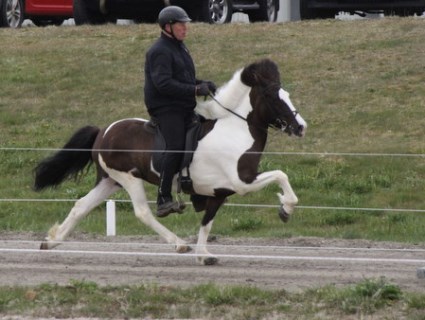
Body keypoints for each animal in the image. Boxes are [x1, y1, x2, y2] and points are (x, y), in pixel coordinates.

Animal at [33, 58, 304, 266]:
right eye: (272, 96)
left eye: (287, 94)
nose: (301, 127)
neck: (235, 128)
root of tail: (103, 131)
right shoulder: (242, 182)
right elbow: (281, 175)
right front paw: (285, 208)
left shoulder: (219, 192)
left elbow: (207, 223)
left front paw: (204, 255)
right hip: (128, 178)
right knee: (143, 212)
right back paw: (179, 244)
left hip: (110, 181)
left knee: (81, 206)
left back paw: (51, 241)